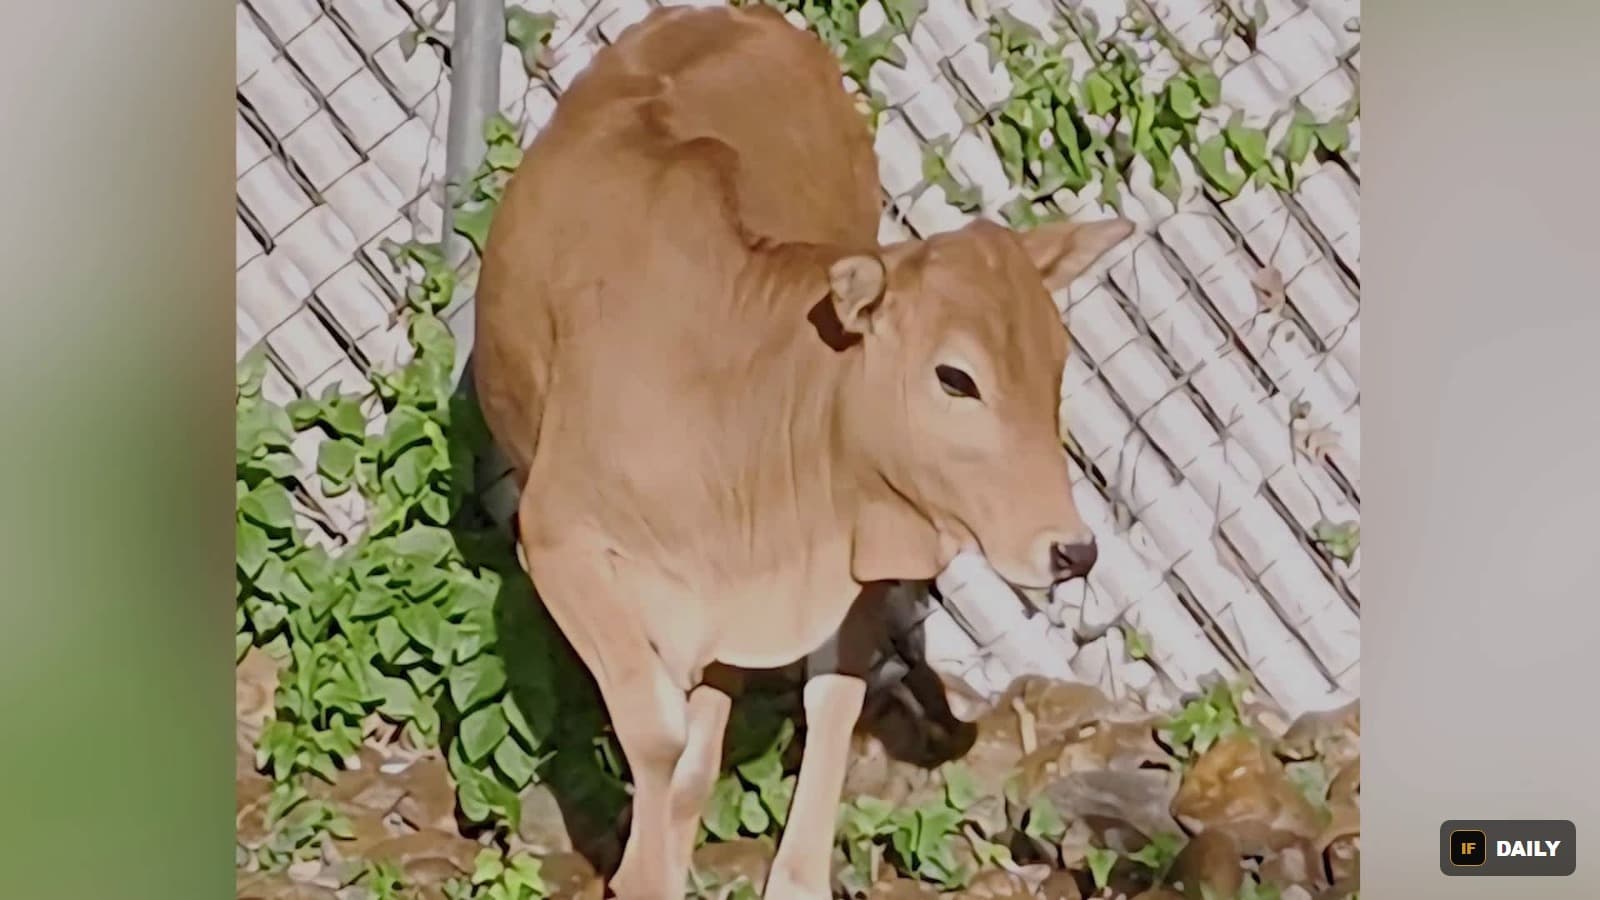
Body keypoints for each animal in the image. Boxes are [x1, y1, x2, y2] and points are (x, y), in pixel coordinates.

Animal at [473, 6, 1133, 899]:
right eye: (956, 377)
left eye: (1057, 365)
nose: (1073, 550)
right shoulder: (558, 542)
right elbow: (662, 737)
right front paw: (644, 873)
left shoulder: (848, 555)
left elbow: (809, 710)